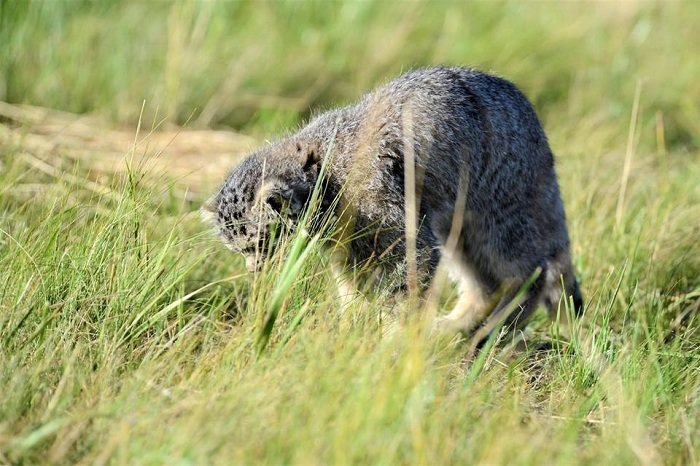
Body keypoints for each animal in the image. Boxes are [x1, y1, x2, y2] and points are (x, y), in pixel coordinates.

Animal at [204, 65, 584, 334]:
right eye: (239, 251)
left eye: (260, 244)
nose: (254, 272)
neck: (325, 172)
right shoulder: (350, 247)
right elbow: (352, 290)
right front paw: (350, 326)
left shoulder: (403, 233)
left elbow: (404, 292)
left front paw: (392, 338)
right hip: (458, 228)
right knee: (486, 284)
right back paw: (457, 326)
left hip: (499, 220)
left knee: (529, 274)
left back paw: (499, 328)